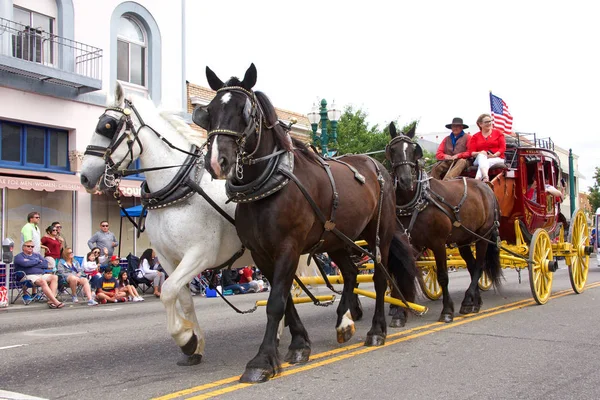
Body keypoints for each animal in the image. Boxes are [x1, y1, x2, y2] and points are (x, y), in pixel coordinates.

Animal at [80, 83, 316, 368]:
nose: (85, 176)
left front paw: (185, 338)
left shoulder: (199, 255)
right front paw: (194, 342)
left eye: (108, 126)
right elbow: (181, 297)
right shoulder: (168, 259)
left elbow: (168, 291)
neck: (179, 190)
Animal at [195, 64, 420, 382]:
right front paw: (300, 344)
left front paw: (263, 360)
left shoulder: (288, 247)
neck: (270, 183)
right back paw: (344, 322)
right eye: (210, 111)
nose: (217, 161)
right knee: (351, 272)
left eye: (245, 111)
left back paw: (377, 330)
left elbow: (276, 301)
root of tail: (379, 167)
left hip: (381, 234)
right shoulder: (262, 253)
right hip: (336, 238)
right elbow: (285, 299)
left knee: (378, 277)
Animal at [384, 122, 502, 322]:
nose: (407, 180)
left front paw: (447, 311)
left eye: (413, 150)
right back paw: (474, 302)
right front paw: (399, 312)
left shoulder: (438, 243)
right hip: (464, 240)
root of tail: (485, 187)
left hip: (483, 236)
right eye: (392, 149)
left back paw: (467, 300)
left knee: (479, 266)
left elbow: (442, 276)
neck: (416, 200)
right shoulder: (409, 243)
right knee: (472, 266)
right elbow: (403, 273)